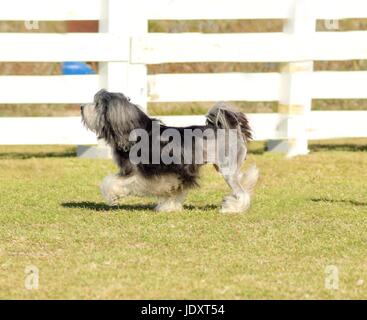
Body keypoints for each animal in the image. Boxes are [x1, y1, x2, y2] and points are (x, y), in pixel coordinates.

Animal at [81, 89, 258, 212]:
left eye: (97, 105)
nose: (81, 106)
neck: (135, 133)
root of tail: (233, 130)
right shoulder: (174, 173)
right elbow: (173, 190)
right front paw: (169, 207)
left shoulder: (140, 173)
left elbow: (111, 182)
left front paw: (113, 194)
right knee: (245, 182)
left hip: (227, 170)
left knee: (241, 192)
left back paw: (233, 208)